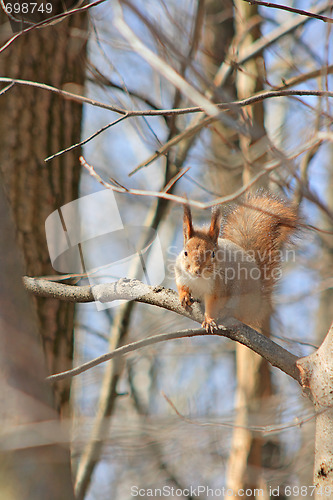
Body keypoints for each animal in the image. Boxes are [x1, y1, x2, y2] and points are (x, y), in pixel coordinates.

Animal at [175, 192, 296, 332]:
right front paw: (184, 296)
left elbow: (212, 304)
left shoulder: (218, 287)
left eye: (213, 254)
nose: (197, 270)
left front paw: (209, 320)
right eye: (185, 253)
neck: (198, 280)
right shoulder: (180, 273)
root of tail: (258, 305)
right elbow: (181, 286)